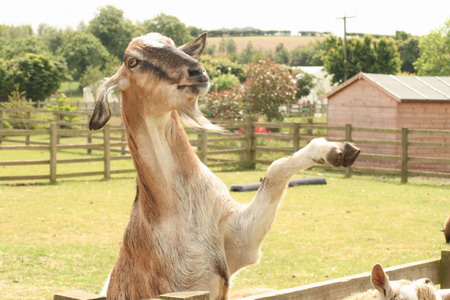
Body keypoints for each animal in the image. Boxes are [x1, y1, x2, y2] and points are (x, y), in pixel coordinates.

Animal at [89, 32, 360, 300]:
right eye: (132, 61)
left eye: (172, 44)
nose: (196, 71)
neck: (182, 207)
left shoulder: (238, 241)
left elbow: (275, 170)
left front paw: (337, 151)